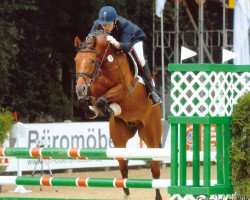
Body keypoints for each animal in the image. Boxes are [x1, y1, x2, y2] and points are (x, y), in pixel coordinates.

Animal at [73, 30, 164, 200]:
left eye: (92, 61)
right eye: (76, 60)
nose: (79, 89)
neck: (105, 62)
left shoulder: (123, 90)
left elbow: (103, 99)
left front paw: (109, 108)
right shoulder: (93, 87)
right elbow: (89, 99)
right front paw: (92, 109)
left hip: (151, 134)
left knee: (155, 168)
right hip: (119, 137)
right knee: (123, 166)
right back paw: (126, 192)